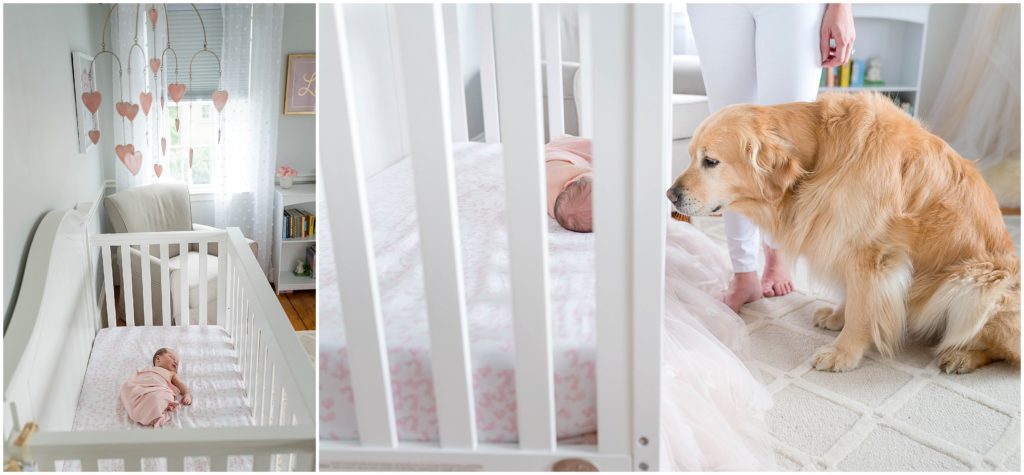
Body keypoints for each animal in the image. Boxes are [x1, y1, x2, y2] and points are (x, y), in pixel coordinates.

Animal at [667, 92, 1019, 372]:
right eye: (690, 156)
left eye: (710, 161)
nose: (670, 194)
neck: (821, 156)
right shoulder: (846, 245)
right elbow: (854, 297)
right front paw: (838, 316)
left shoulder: (872, 256)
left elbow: (863, 309)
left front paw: (843, 354)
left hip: (976, 284)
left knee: (1005, 351)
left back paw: (962, 356)